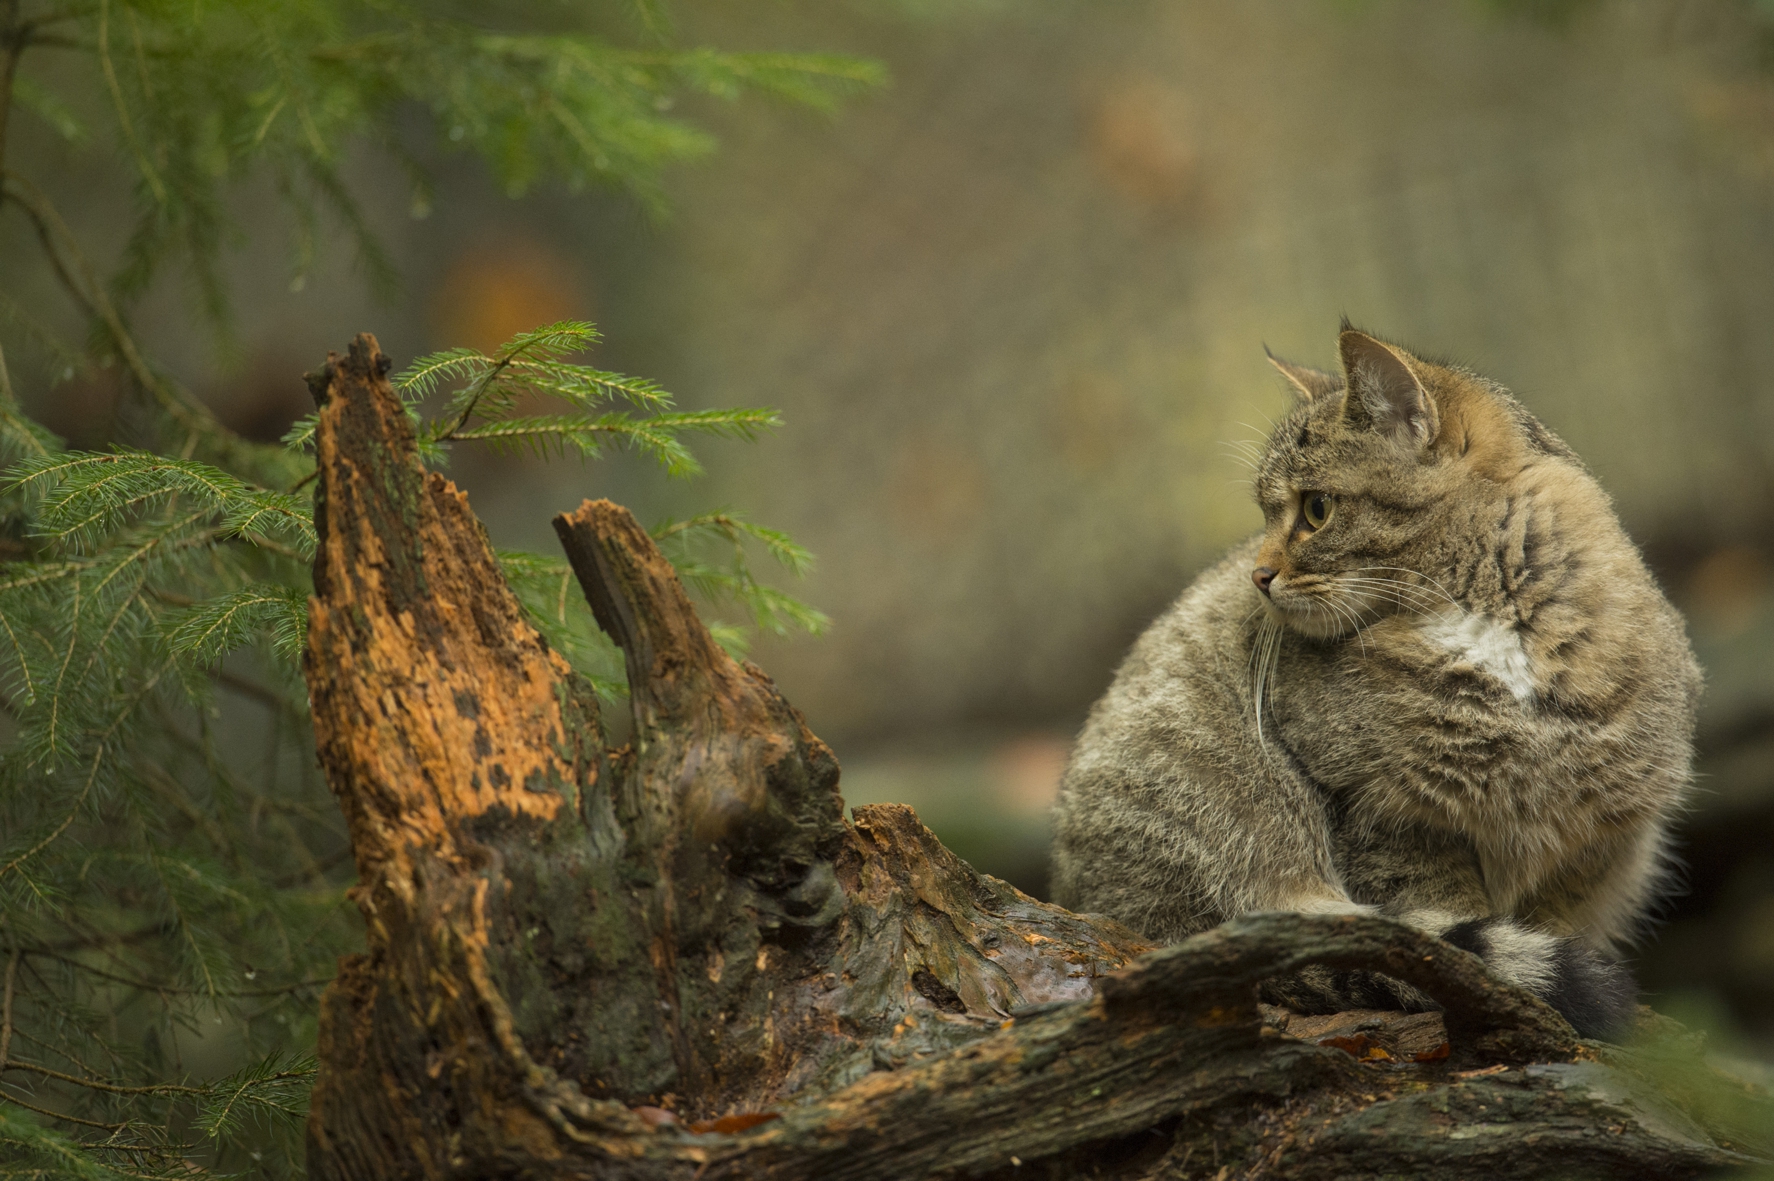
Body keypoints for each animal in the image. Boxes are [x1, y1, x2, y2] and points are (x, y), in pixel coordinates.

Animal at [1043, 322, 1695, 1028]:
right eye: (1267, 515)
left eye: (1317, 510)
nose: (1258, 574)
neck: (1497, 632)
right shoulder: (1382, 811)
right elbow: (1445, 924)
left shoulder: (1594, 835)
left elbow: (1551, 917)